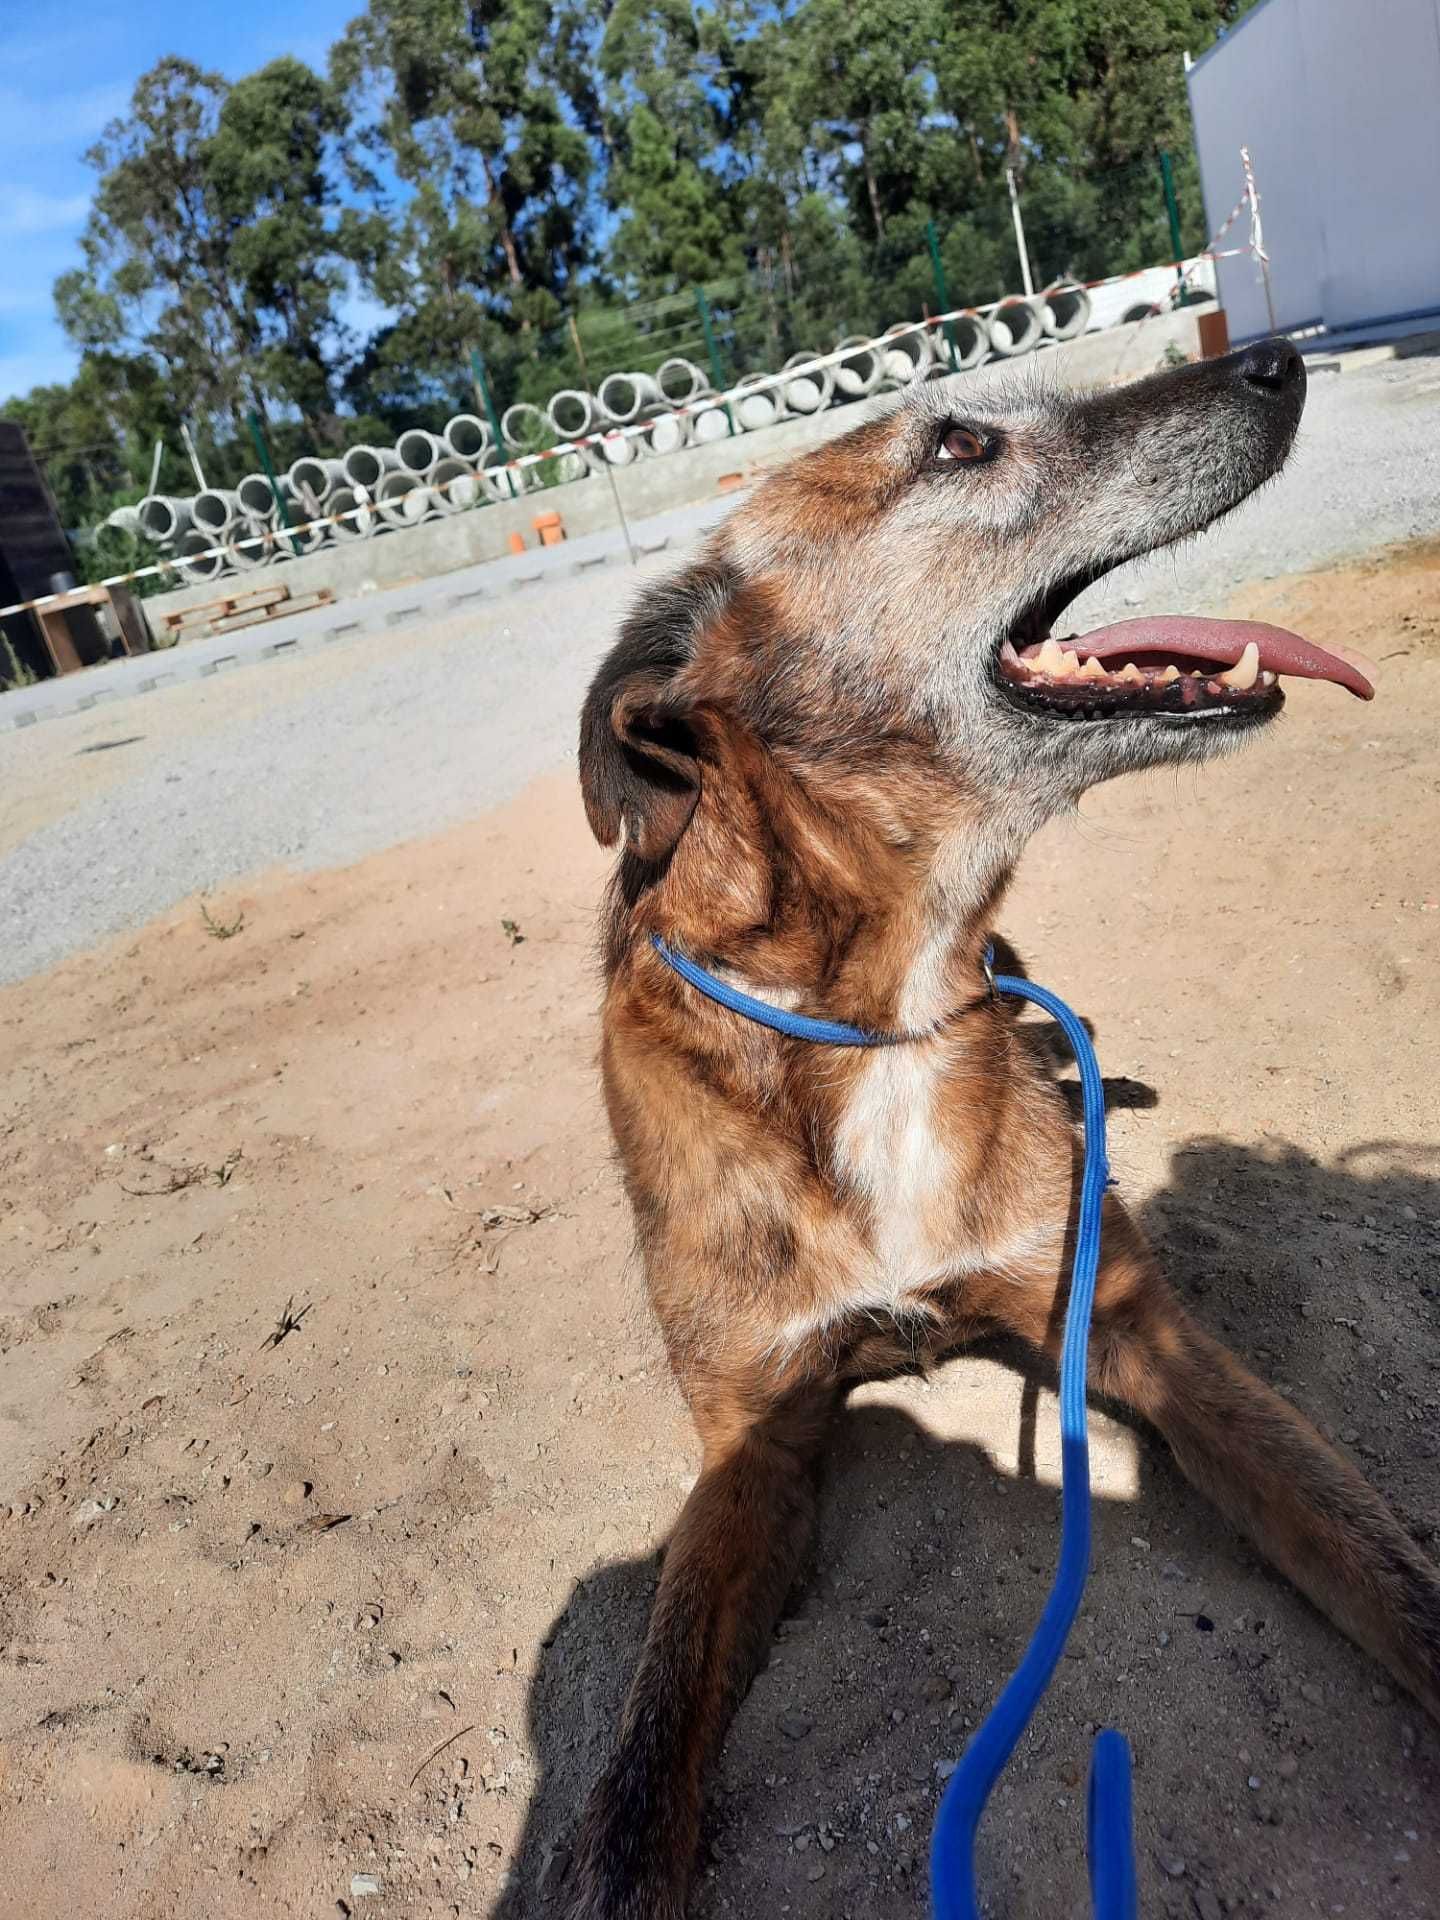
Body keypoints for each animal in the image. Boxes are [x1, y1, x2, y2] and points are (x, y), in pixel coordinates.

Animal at [568, 349, 1436, 1920]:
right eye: (958, 443)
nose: (1276, 359)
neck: (878, 1020)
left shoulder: (1134, 1325)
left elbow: (1376, 1557)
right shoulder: (750, 1446)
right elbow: (643, 1763)